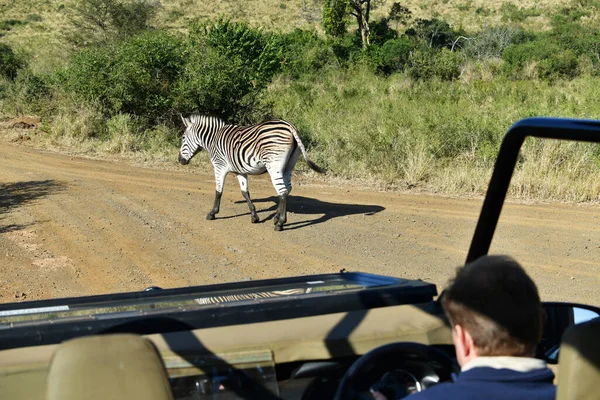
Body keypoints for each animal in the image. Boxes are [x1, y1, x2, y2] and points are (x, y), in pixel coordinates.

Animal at [179, 113, 324, 231]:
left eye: (183, 138)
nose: (180, 160)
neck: (213, 139)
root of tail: (290, 126)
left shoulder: (219, 166)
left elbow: (218, 191)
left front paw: (212, 213)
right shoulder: (240, 171)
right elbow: (245, 193)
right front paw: (254, 216)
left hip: (274, 165)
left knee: (282, 192)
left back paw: (280, 223)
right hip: (289, 165)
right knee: (287, 189)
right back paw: (276, 218)